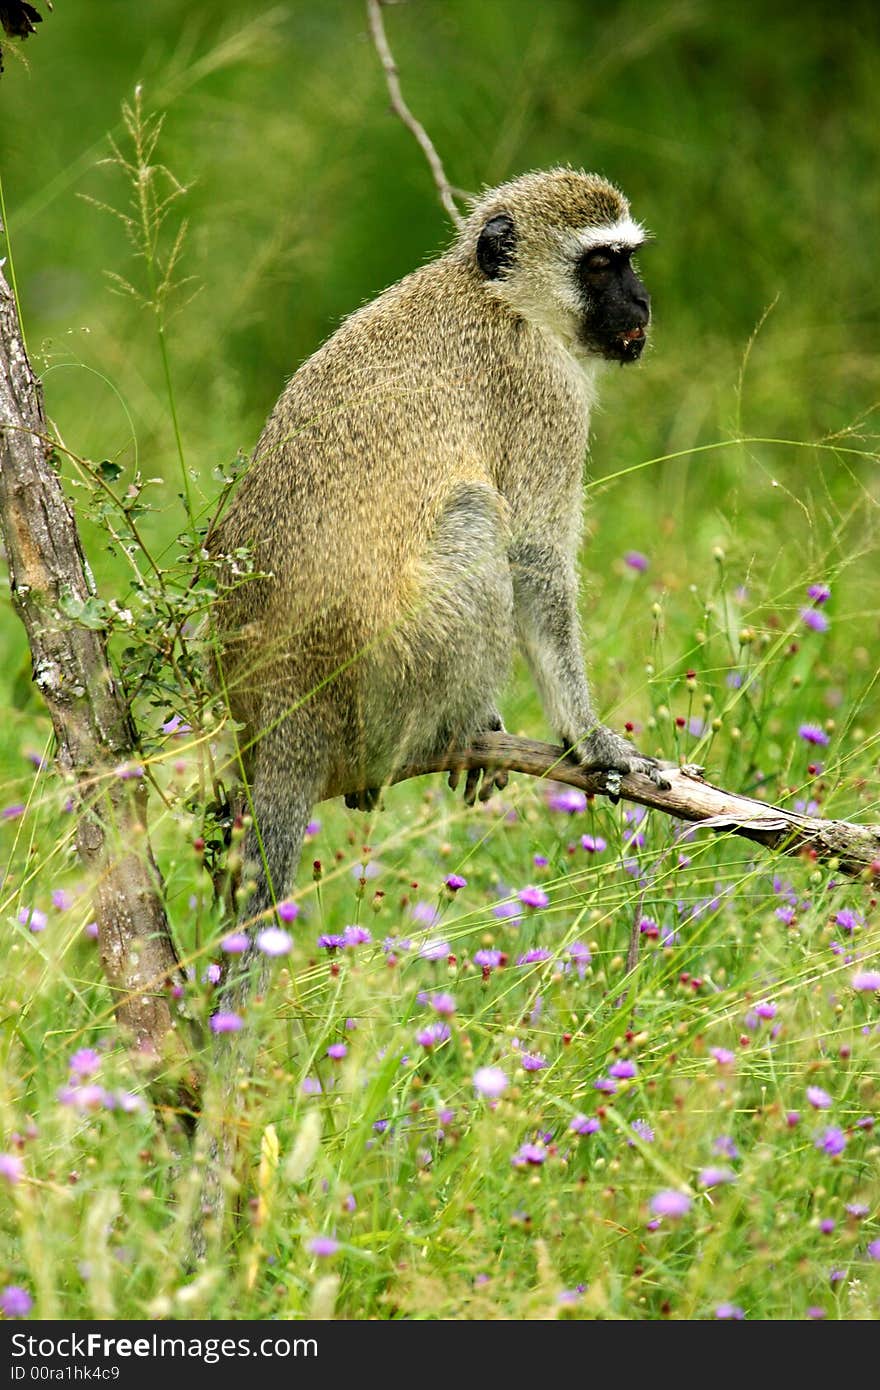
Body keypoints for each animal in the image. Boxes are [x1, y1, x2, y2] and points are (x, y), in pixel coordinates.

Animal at [211, 170, 664, 934]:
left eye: (627, 260)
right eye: (601, 265)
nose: (642, 302)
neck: (498, 297)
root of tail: (285, 702)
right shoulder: (547, 392)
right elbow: (535, 560)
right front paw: (590, 737)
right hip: (392, 681)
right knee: (476, 516)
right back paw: (459, 727)